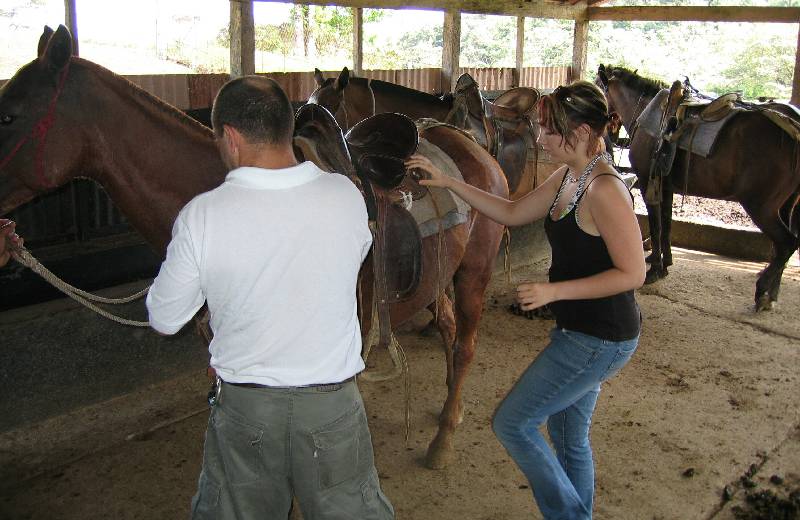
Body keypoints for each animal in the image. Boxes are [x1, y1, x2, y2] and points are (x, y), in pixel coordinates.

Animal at [0, 26, 510, 470]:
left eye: (9, 113)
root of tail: (468, 141)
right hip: (439, 273)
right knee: (447, 327)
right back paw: (448, 406)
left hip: (475, 271)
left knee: (465, 343)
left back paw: (443, 438)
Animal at [596, 64, 800, 308]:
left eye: (596, 86)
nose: (609, 135)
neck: (647, 112)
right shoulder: (666, 187)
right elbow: (666, 225)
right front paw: (663, 262)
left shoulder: (647, 182)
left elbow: (656, 226)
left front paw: (654, 269)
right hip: (786, 205)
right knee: (783, 247)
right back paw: (772, 292)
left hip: (761, 206)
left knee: (787, 243)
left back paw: (762, 292)